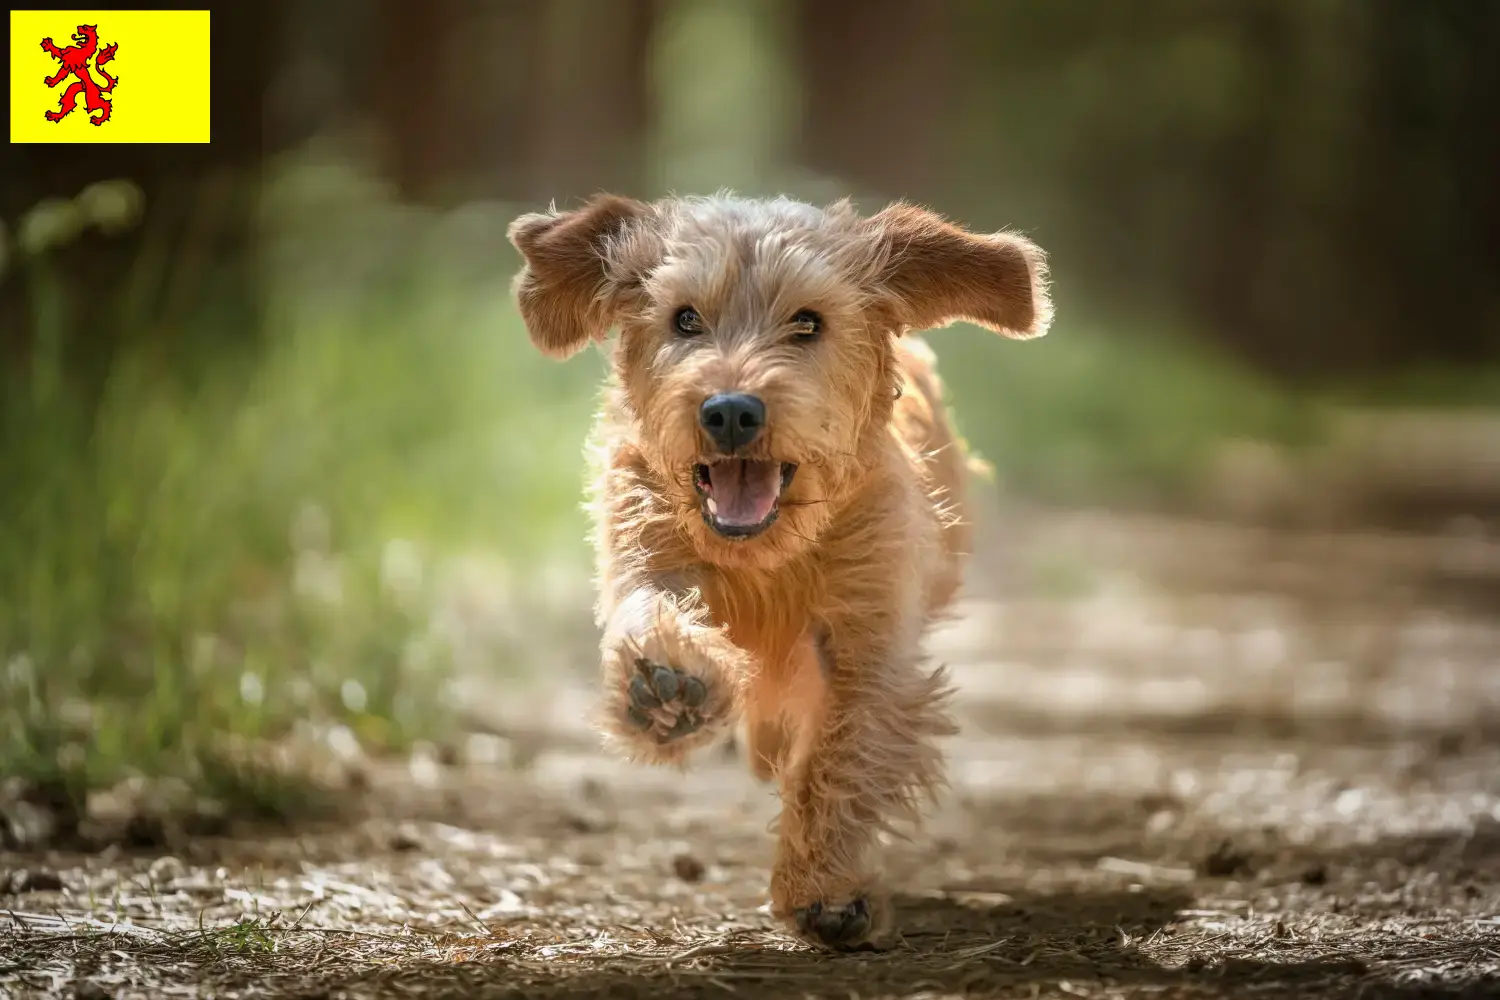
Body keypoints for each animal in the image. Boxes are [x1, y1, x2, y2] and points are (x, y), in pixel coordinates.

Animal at [510, 193, 1050, 947]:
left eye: (808, 322)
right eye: (685, 318)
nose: (731, 410)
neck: (767, 556)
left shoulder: (870, 636)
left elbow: (842, 751)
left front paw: (822, 890)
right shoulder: (643, 539)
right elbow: (650, 606)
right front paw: (665, 685)